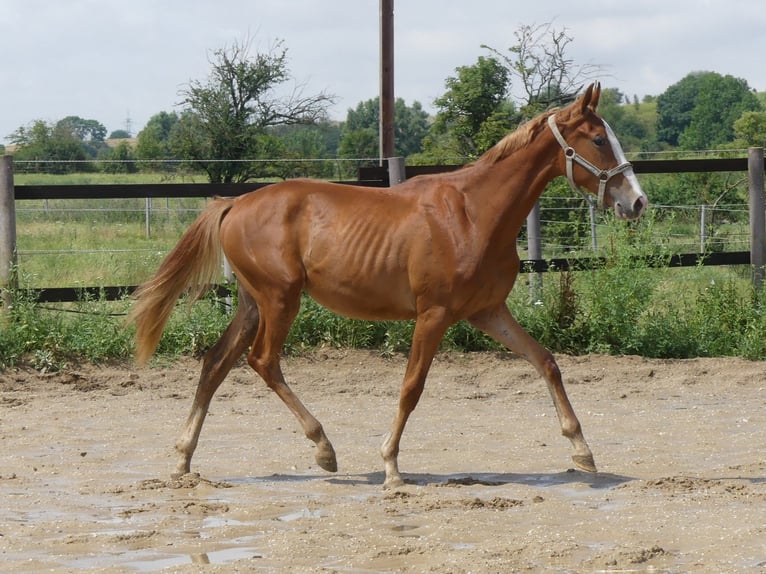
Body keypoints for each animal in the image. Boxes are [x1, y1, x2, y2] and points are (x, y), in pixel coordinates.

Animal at [129, 83, 647, 489]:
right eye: (599, 139)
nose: (637, 202)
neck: (474, 214)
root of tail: (234, 205)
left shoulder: (487, 311)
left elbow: (546, 361)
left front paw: (582, 451)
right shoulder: (434, 314)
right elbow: (411, 387)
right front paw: (391, 466)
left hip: (253, 303)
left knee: (215, 364)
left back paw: (183, 459)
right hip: (280, 299)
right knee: (263, 362)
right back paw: (324, 449)